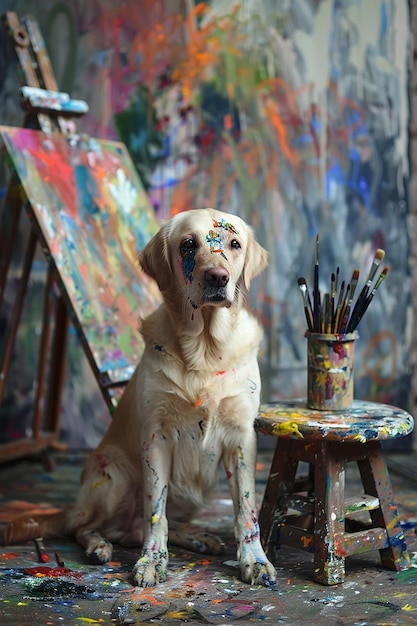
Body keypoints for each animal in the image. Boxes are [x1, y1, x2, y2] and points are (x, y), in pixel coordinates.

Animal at [4, 208, 276, 584]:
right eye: (188, 245)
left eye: (235, 244)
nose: (218, 277)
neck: (205, 349)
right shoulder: (155, 438)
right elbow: (154, 513)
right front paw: (151, 562)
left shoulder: (241, 439)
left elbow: (245, 511)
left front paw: (255, 560)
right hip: (114, 474)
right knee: (87, 528)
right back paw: (98, 546)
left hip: (193, 492)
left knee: (138, 528)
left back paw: (198, 537)